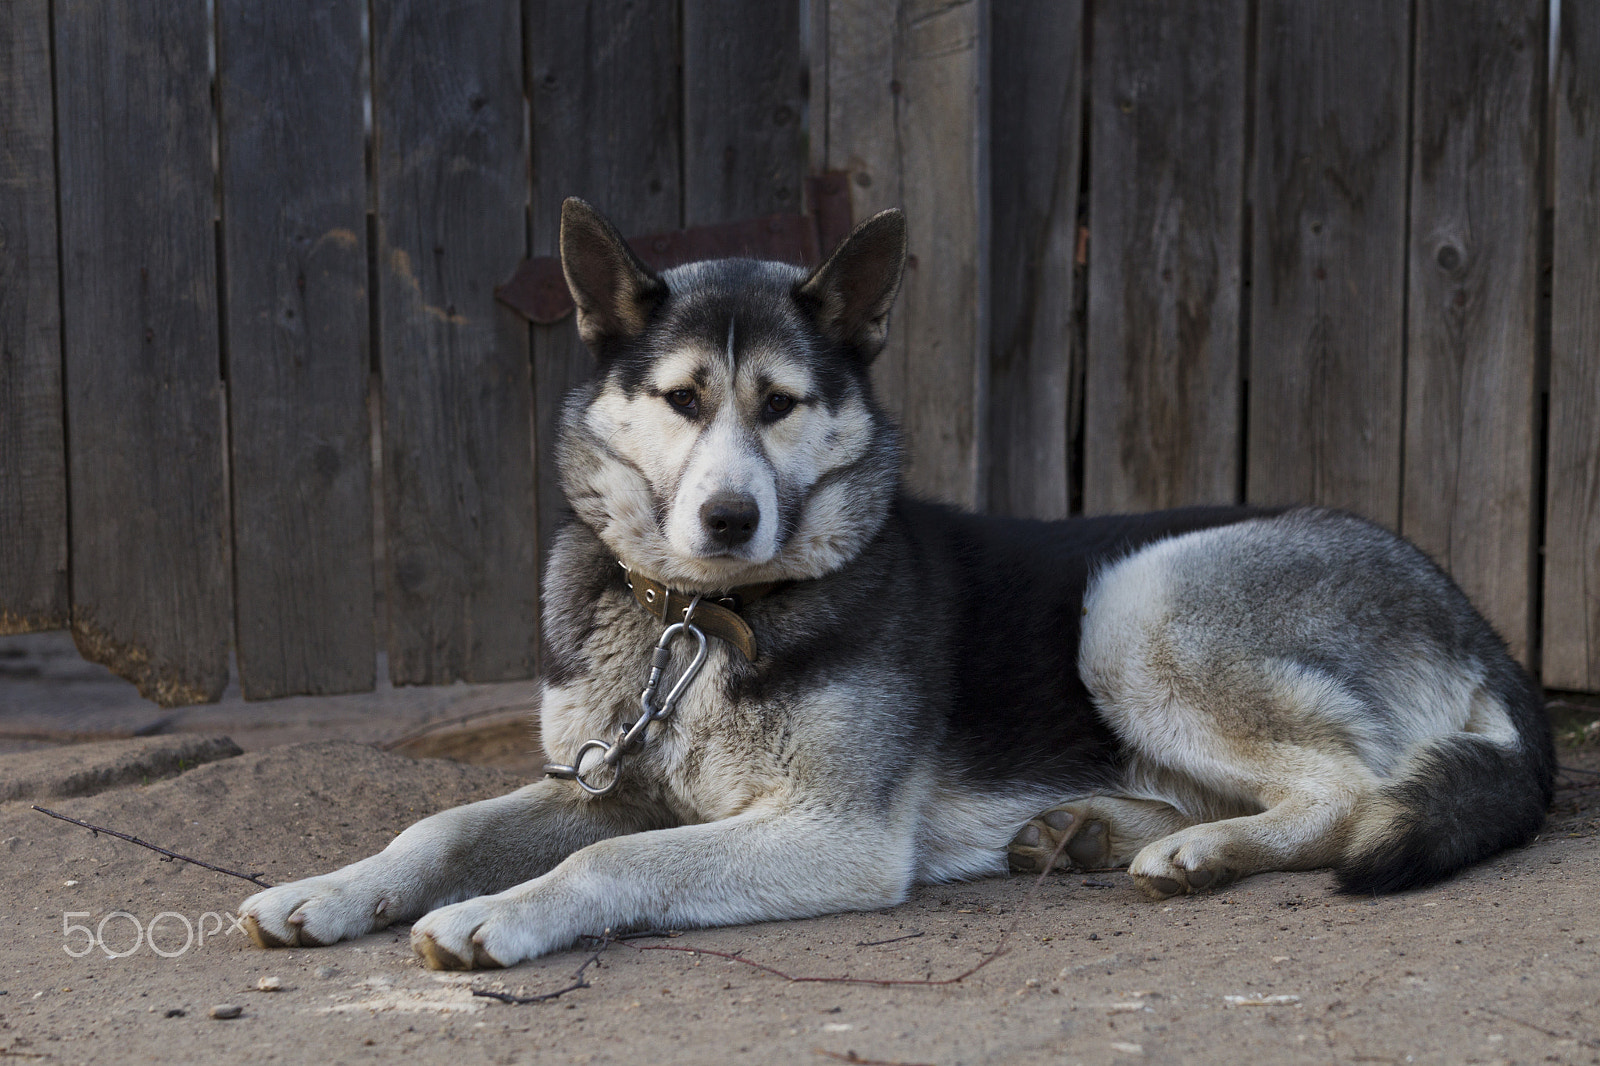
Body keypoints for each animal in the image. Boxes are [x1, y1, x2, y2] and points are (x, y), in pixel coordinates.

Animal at [236, 195, 1548, 966]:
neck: (700, 619)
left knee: (1348, 788)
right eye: (680, 399)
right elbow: (441, 824)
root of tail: (1482, 625)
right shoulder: (612, 783)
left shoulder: (828, 834)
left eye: (780, 404)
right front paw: (335, 890)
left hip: (1132, 603)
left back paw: (1195, 854)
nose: (728, 517)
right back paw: (1094, 829)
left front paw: (499, 913)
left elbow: (608, 864)